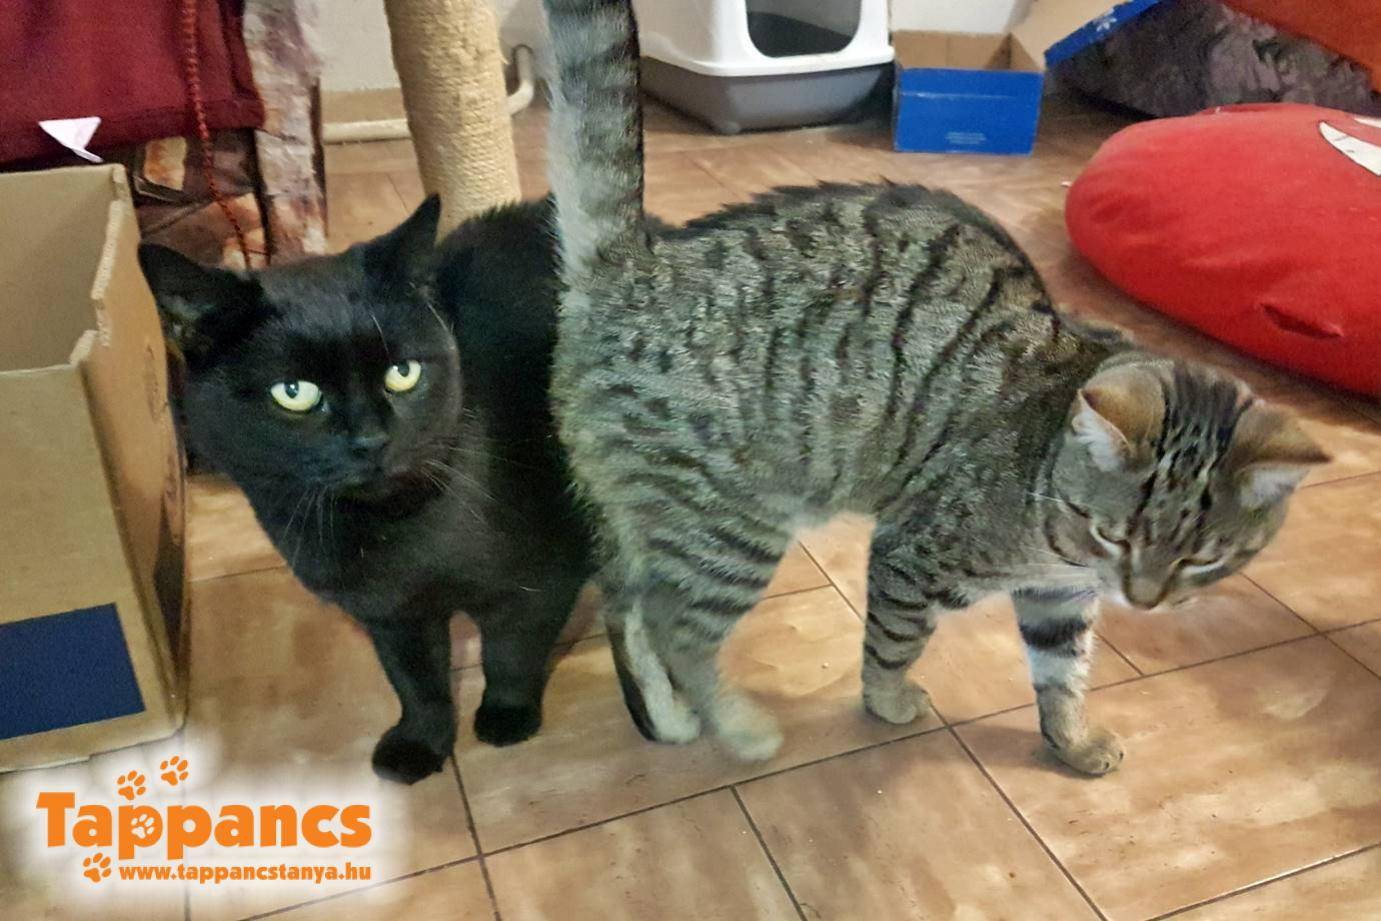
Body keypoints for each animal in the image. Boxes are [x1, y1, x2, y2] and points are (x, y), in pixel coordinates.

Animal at [139, 196, 592, 784]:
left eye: (403, 373)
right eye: (293, 393)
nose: (372, 440)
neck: (386, 532)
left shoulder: (539, 582)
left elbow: (510, 652)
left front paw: (506, 716)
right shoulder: (389, 615)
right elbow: (415, 680)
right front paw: (419, 744)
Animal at [538, 0, 1328, 770]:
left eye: (1203, 559)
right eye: (1115, 535)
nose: (1143, 599)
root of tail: (633, 263)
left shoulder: (1060, 599)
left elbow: (1062, 672)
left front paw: (1070, 739)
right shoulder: (912, 556)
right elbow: (894, 643)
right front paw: (888, 702)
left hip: (652, 516)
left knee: (628, 605)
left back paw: (670, 717)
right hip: (733, 529)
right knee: (675, 625)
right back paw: (736, 725)